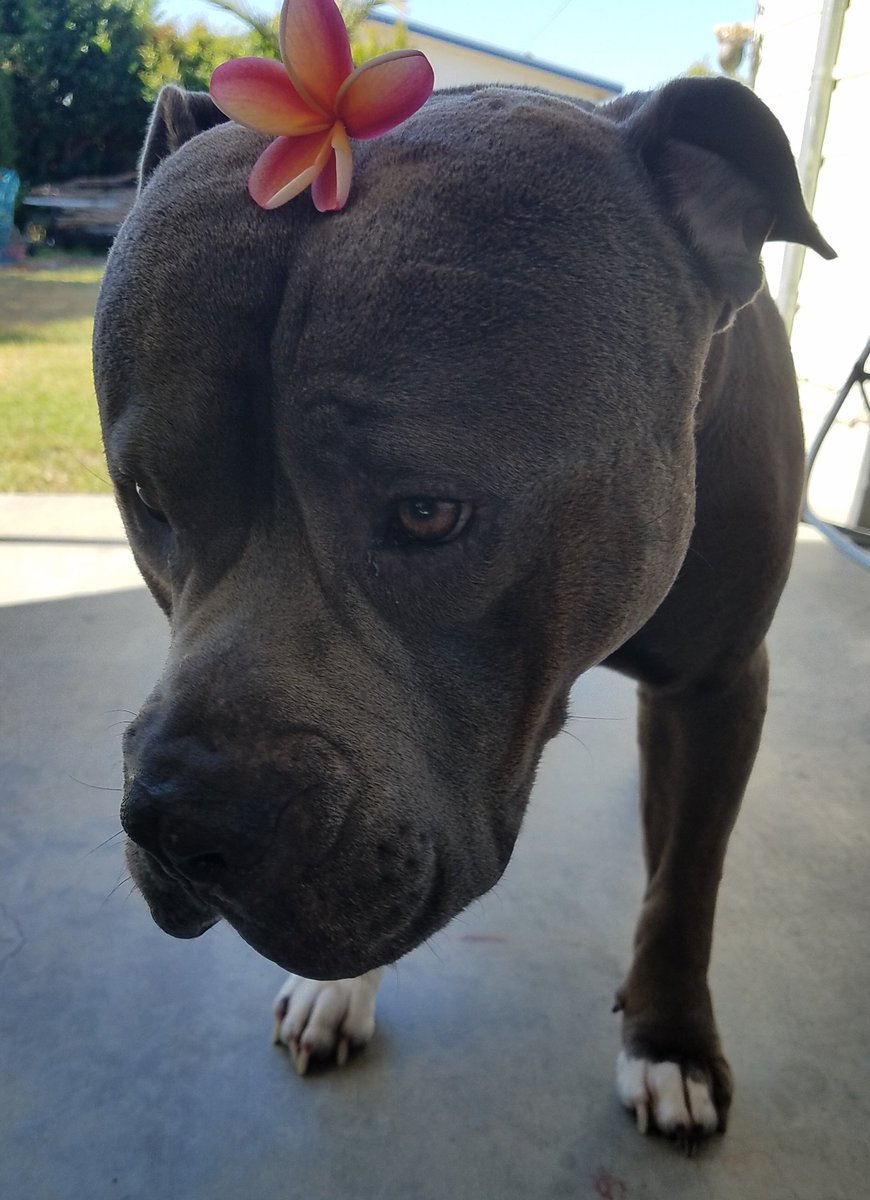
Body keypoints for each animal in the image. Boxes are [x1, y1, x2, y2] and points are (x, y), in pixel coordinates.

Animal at [91, 72, 830, 1142]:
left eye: (429, 513)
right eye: (149, 498)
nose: (182, 820)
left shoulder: (721, 680)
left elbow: (687, 883)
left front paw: (672, 1042)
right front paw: (341, 991)